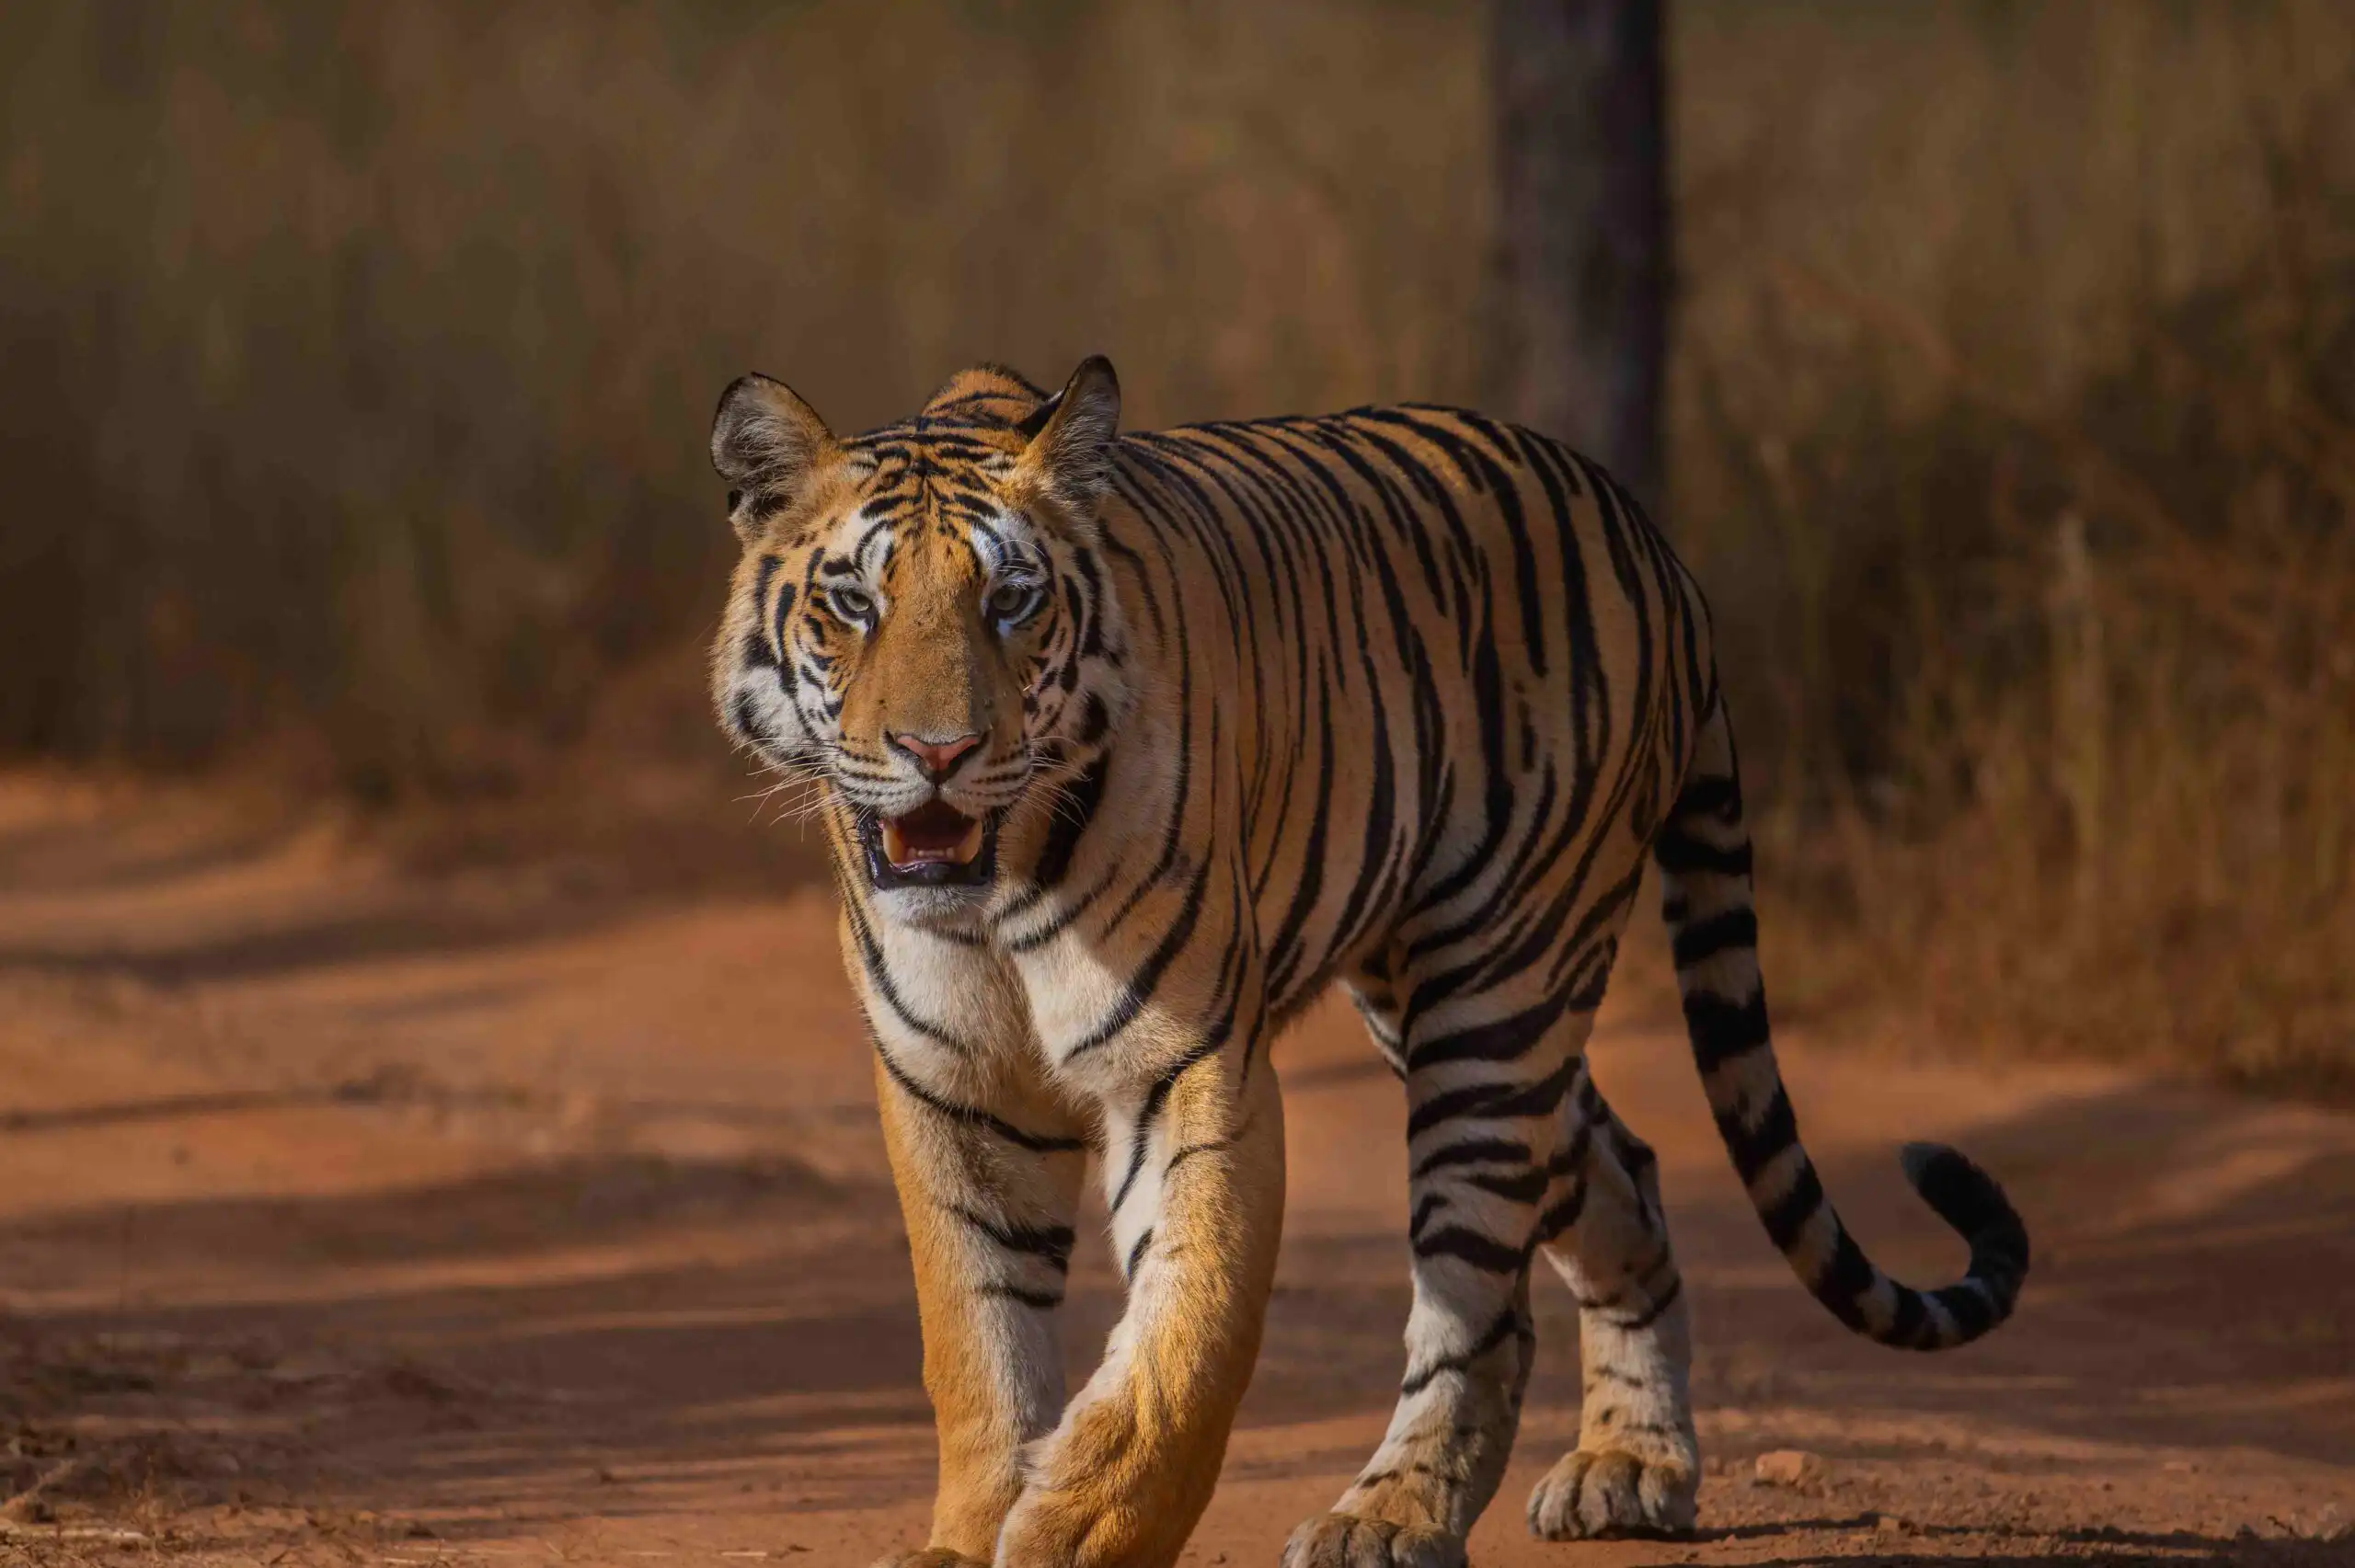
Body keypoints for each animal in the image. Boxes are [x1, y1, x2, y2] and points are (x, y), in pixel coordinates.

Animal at [706, 356, 2029, 1568]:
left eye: (1013, 600)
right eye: (852, 604)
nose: (939, 751)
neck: (995, 891)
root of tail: (1650, 540)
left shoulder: (1182, 1065)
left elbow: (1186, 1338)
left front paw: (1084, 1525)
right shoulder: (949, 1086)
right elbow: (976, 1339)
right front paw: (974, 1529)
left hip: (1499, 996)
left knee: (1480, 1300)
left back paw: (1390, 1517)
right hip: (1441, 1000)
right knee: (1625, 1171)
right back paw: (1630, 1465)